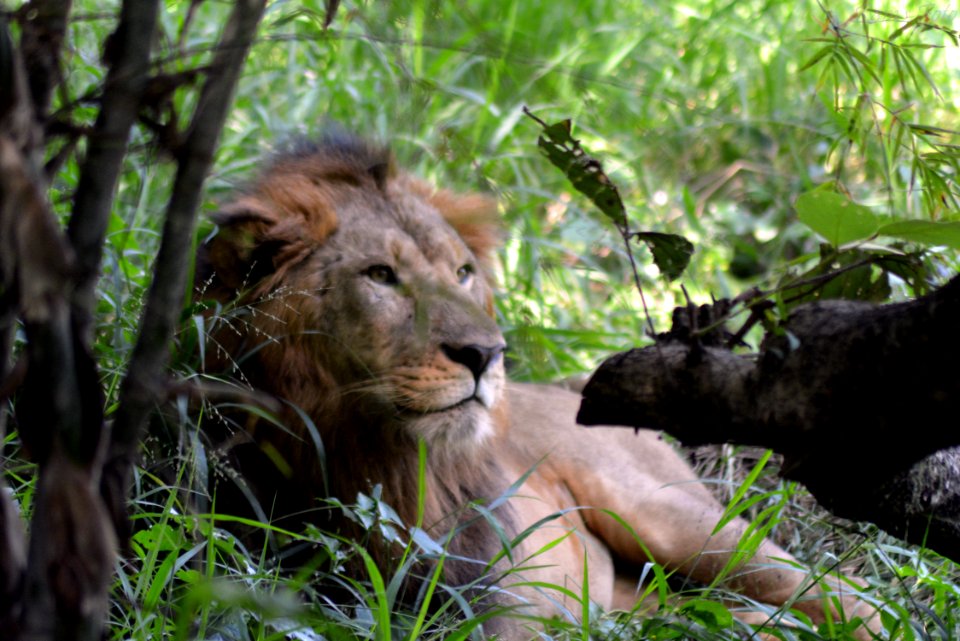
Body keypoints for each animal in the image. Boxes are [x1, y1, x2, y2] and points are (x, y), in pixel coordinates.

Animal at [195, 134, 876, 636]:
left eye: (463, 273)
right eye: (381, 275)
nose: (486, 354)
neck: (373, 460)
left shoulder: (503, 597)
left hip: (680, 523)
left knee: (850, 597)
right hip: (639, 602)